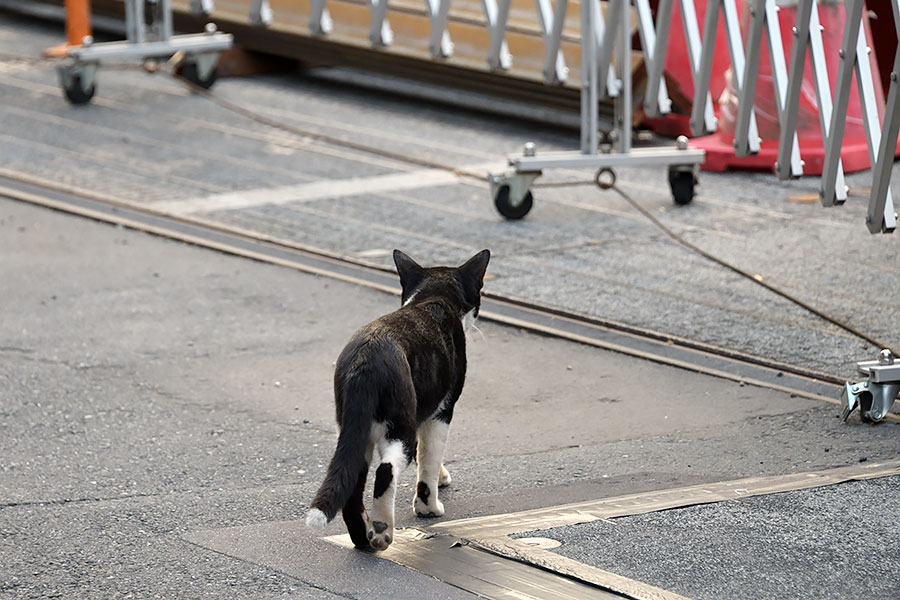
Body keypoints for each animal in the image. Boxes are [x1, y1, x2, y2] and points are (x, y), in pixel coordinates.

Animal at [304, 250, 488, 552]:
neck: (432, 298)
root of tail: (365, 361)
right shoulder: (442, 410)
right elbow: (429, 457)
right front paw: (429, 507)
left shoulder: (426, 405)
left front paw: (442, 476)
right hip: (400, 424)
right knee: (385, 471)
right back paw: (382, 530)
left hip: (357, 428)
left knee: (352, 480)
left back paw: (364, 538)